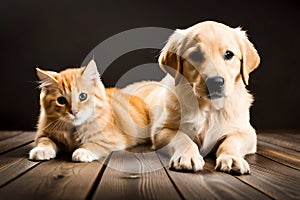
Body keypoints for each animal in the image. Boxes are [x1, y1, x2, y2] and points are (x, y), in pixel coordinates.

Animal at [123, 20, 258, 173]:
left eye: (229, 54)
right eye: (195, 55)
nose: (216, 82)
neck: (207, 108)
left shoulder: (247, 132)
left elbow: (231, 141)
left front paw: (232, 158)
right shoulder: (161, 130)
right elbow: (182, 137)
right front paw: (187, 157)